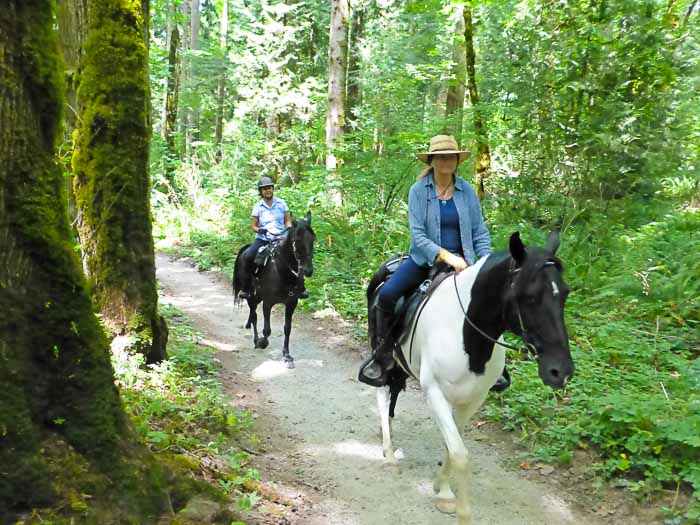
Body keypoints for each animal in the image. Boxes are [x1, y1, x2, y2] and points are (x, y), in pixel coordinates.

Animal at [232, 211, 314, 366]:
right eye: (297, 239)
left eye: (313, 239)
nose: (308, 270)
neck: (282, 272)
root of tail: (245, 248)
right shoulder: (268, 302)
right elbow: (267, 330)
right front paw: (262, 342)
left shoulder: (291, 303)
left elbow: (287, 328)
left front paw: (286, 355)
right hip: (252, 297)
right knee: (254, 316)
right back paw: (256, 341)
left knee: (253, 316)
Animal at [366, 229, 576, 524]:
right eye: (530, 297)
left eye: (564, 294)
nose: (560, 372)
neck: (464, 334)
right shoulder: (435, 394)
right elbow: (460, 454)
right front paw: (458, 507)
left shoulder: (474, 398)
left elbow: (452, 446)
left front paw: (442, 489)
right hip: (382, 353)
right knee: (383, 394)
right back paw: (389, 454)